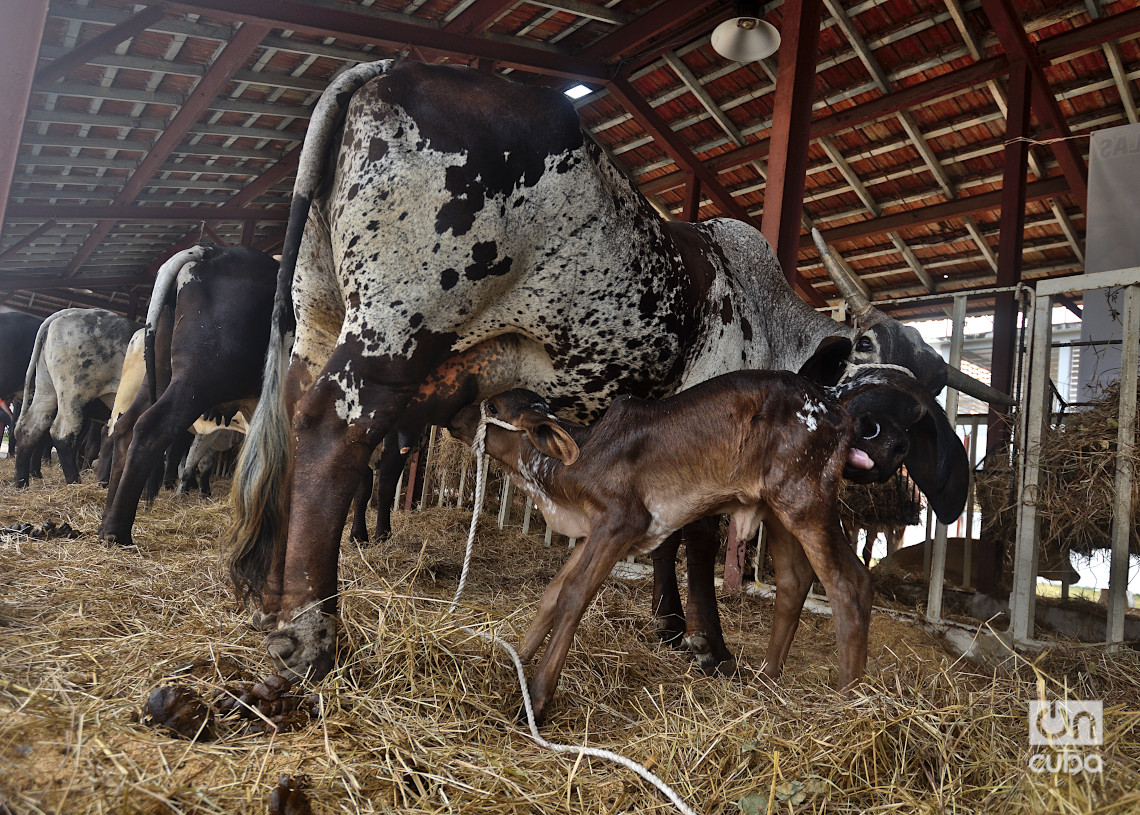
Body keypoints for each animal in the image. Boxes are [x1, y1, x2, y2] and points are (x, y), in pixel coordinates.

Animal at [13, 310, 135, 490]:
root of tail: (74, 311)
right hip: (73, 392)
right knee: (62, 434)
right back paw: (74, 482)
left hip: (46, 388)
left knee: (30, 428)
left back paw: (21, 482)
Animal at [224, 60, 1007, 683]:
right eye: (868, 349)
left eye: (927, 396)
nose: (883, 440)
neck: (767, 318)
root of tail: (389, 69)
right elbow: (698, 539)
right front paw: (708, 643)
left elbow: (670, 539)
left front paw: (667, 622)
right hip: (398, 326)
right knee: (330, 433)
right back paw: (310, 631)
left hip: (320, 319)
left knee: (291, 425)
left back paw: (268, 598)